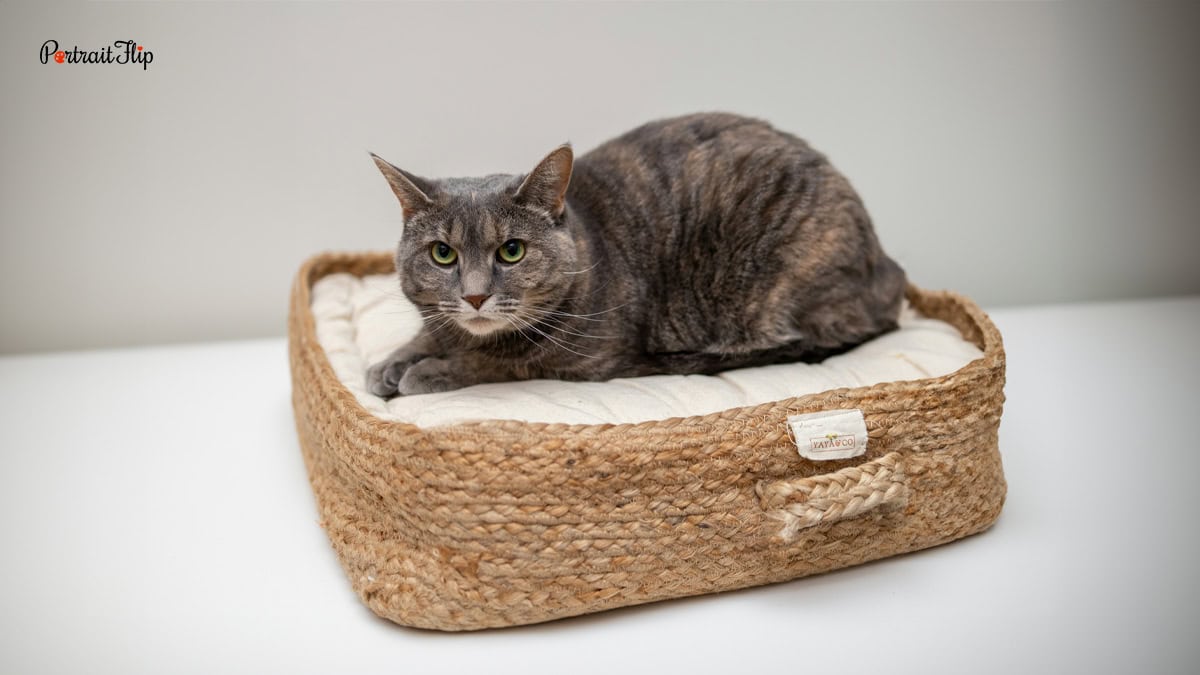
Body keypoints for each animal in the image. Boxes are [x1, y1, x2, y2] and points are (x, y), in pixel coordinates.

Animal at [364, 109, 902, 393]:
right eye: (443, 254)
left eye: (512, 251)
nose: (475, 297)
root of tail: (888, 270)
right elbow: (429, 332)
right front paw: (394, 361)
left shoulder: (586, 361)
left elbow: (503, 362)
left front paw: (428, 370)